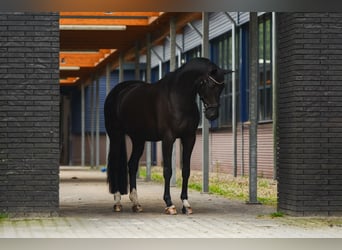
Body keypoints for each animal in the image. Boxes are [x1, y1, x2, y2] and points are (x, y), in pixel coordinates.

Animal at [103, 57, 230, 214]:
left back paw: (136, 203)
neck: (178, 97)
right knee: (115, 164)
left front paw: (186, 204)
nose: (212, 114)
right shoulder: (168, 138)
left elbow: (186, 170)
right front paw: (169, 204)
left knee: (132, 165)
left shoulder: (189, 138)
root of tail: (117, 91)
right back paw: (117, 202)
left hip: (138, 139)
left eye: (222, 87)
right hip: (116, 135)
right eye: (211, 85)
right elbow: (168, 170)